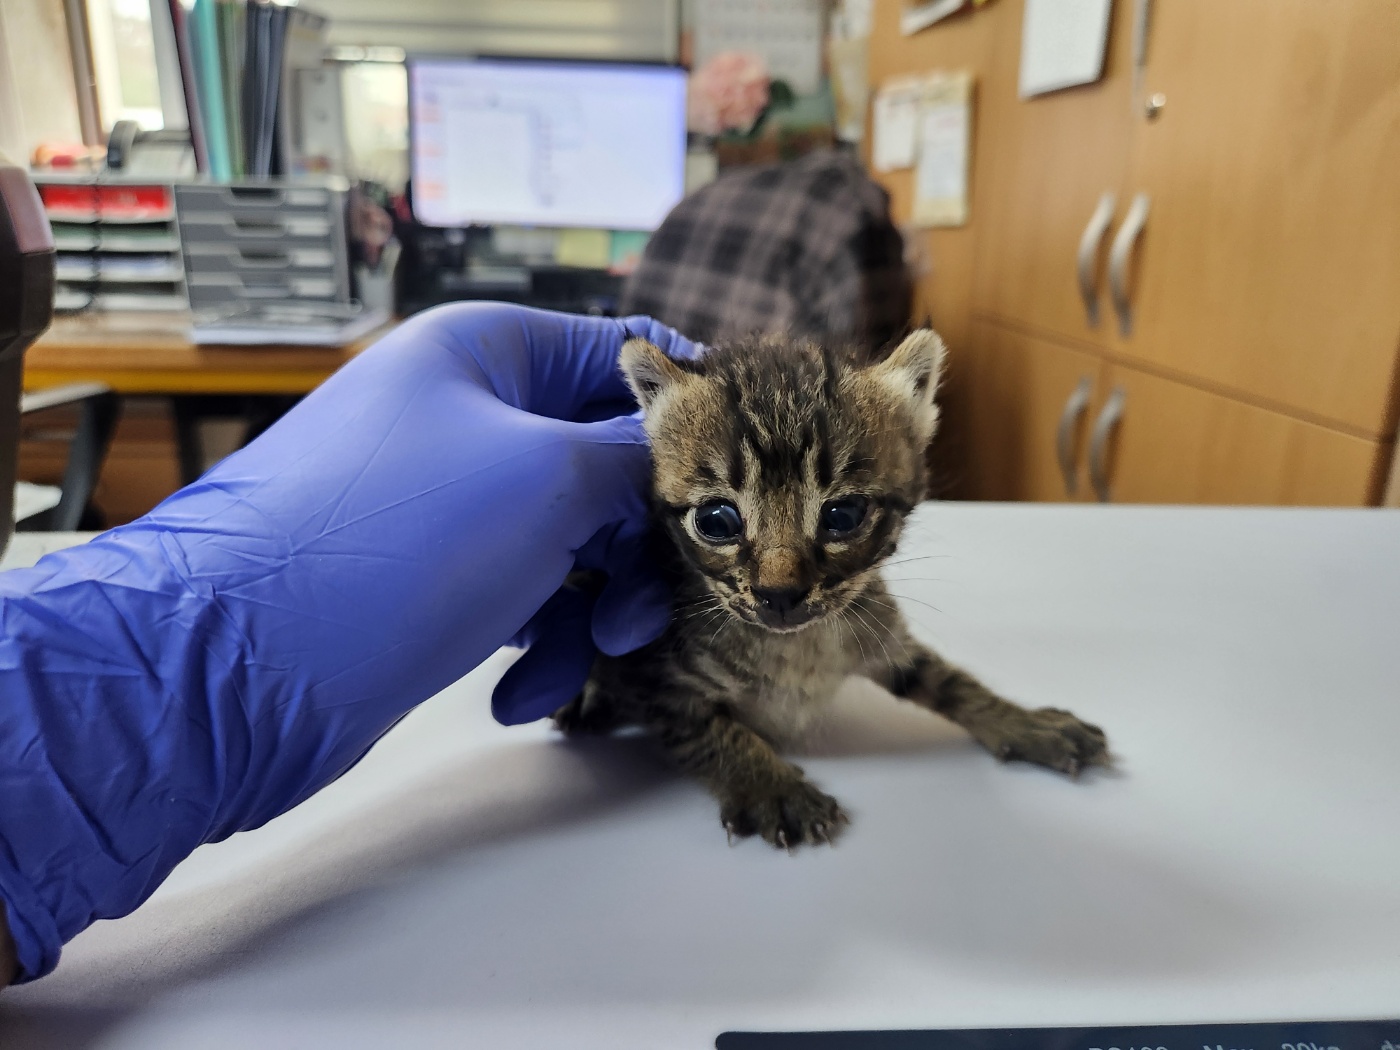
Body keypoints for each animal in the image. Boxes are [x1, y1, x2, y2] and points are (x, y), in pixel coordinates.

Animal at [551, 333, 1108, 851]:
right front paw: (772, 788)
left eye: (843, 515)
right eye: (717, 521)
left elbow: (950, 680)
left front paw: (1026, 724)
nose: (779, 594)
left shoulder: (879, 630)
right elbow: (710, 731)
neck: (795, 645)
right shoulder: (651, 674)